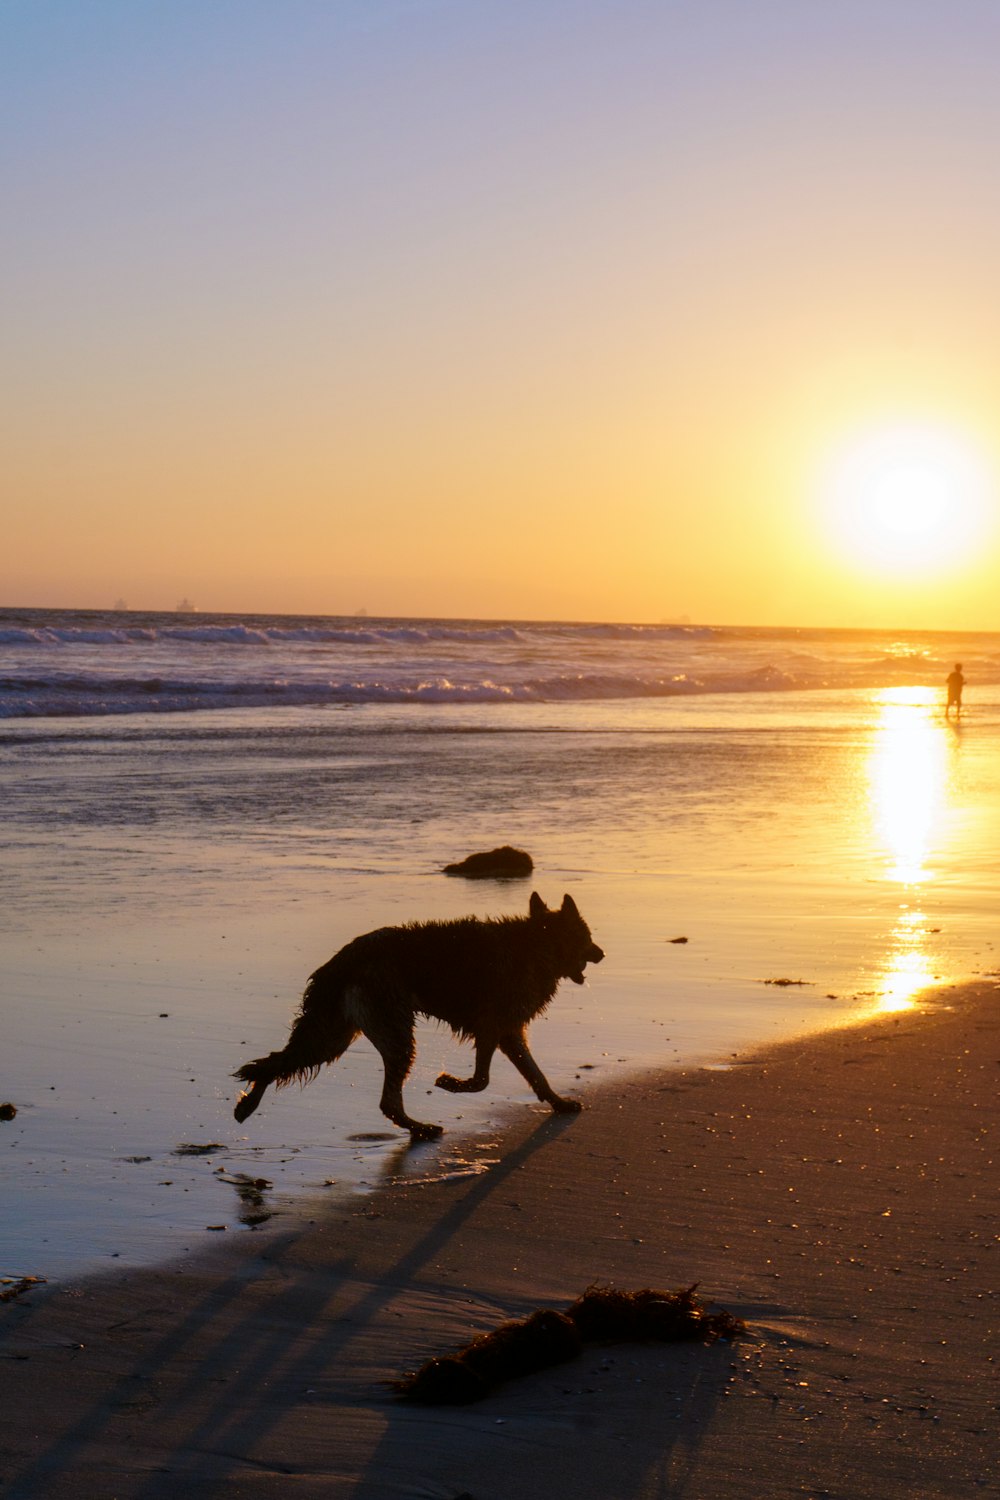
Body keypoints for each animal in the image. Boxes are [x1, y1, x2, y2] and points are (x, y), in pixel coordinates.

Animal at [235, 888, 605, 1134]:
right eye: (586, 936)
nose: (601, 953)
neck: (537, 943)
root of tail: (341, 963)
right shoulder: (493, 1027)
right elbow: (482, 1080)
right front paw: (451, 1083)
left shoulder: (506, 1032)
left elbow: (535, 1075)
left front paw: (558, 1102)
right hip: (392, 1035)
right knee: (386, 1101)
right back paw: (421, 1128)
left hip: (334, 1036)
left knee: (275, 1062)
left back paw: (247, 1104)